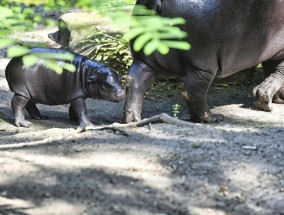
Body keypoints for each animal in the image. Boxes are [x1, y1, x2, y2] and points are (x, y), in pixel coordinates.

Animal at [123, 0, 284, 122]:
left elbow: (272, 72)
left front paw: (271, 98)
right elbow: (278, 73)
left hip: (144, 60)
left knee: (135, 81)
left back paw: (132, 119)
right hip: (203, 66)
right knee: (192, 91)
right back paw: (212, 118)